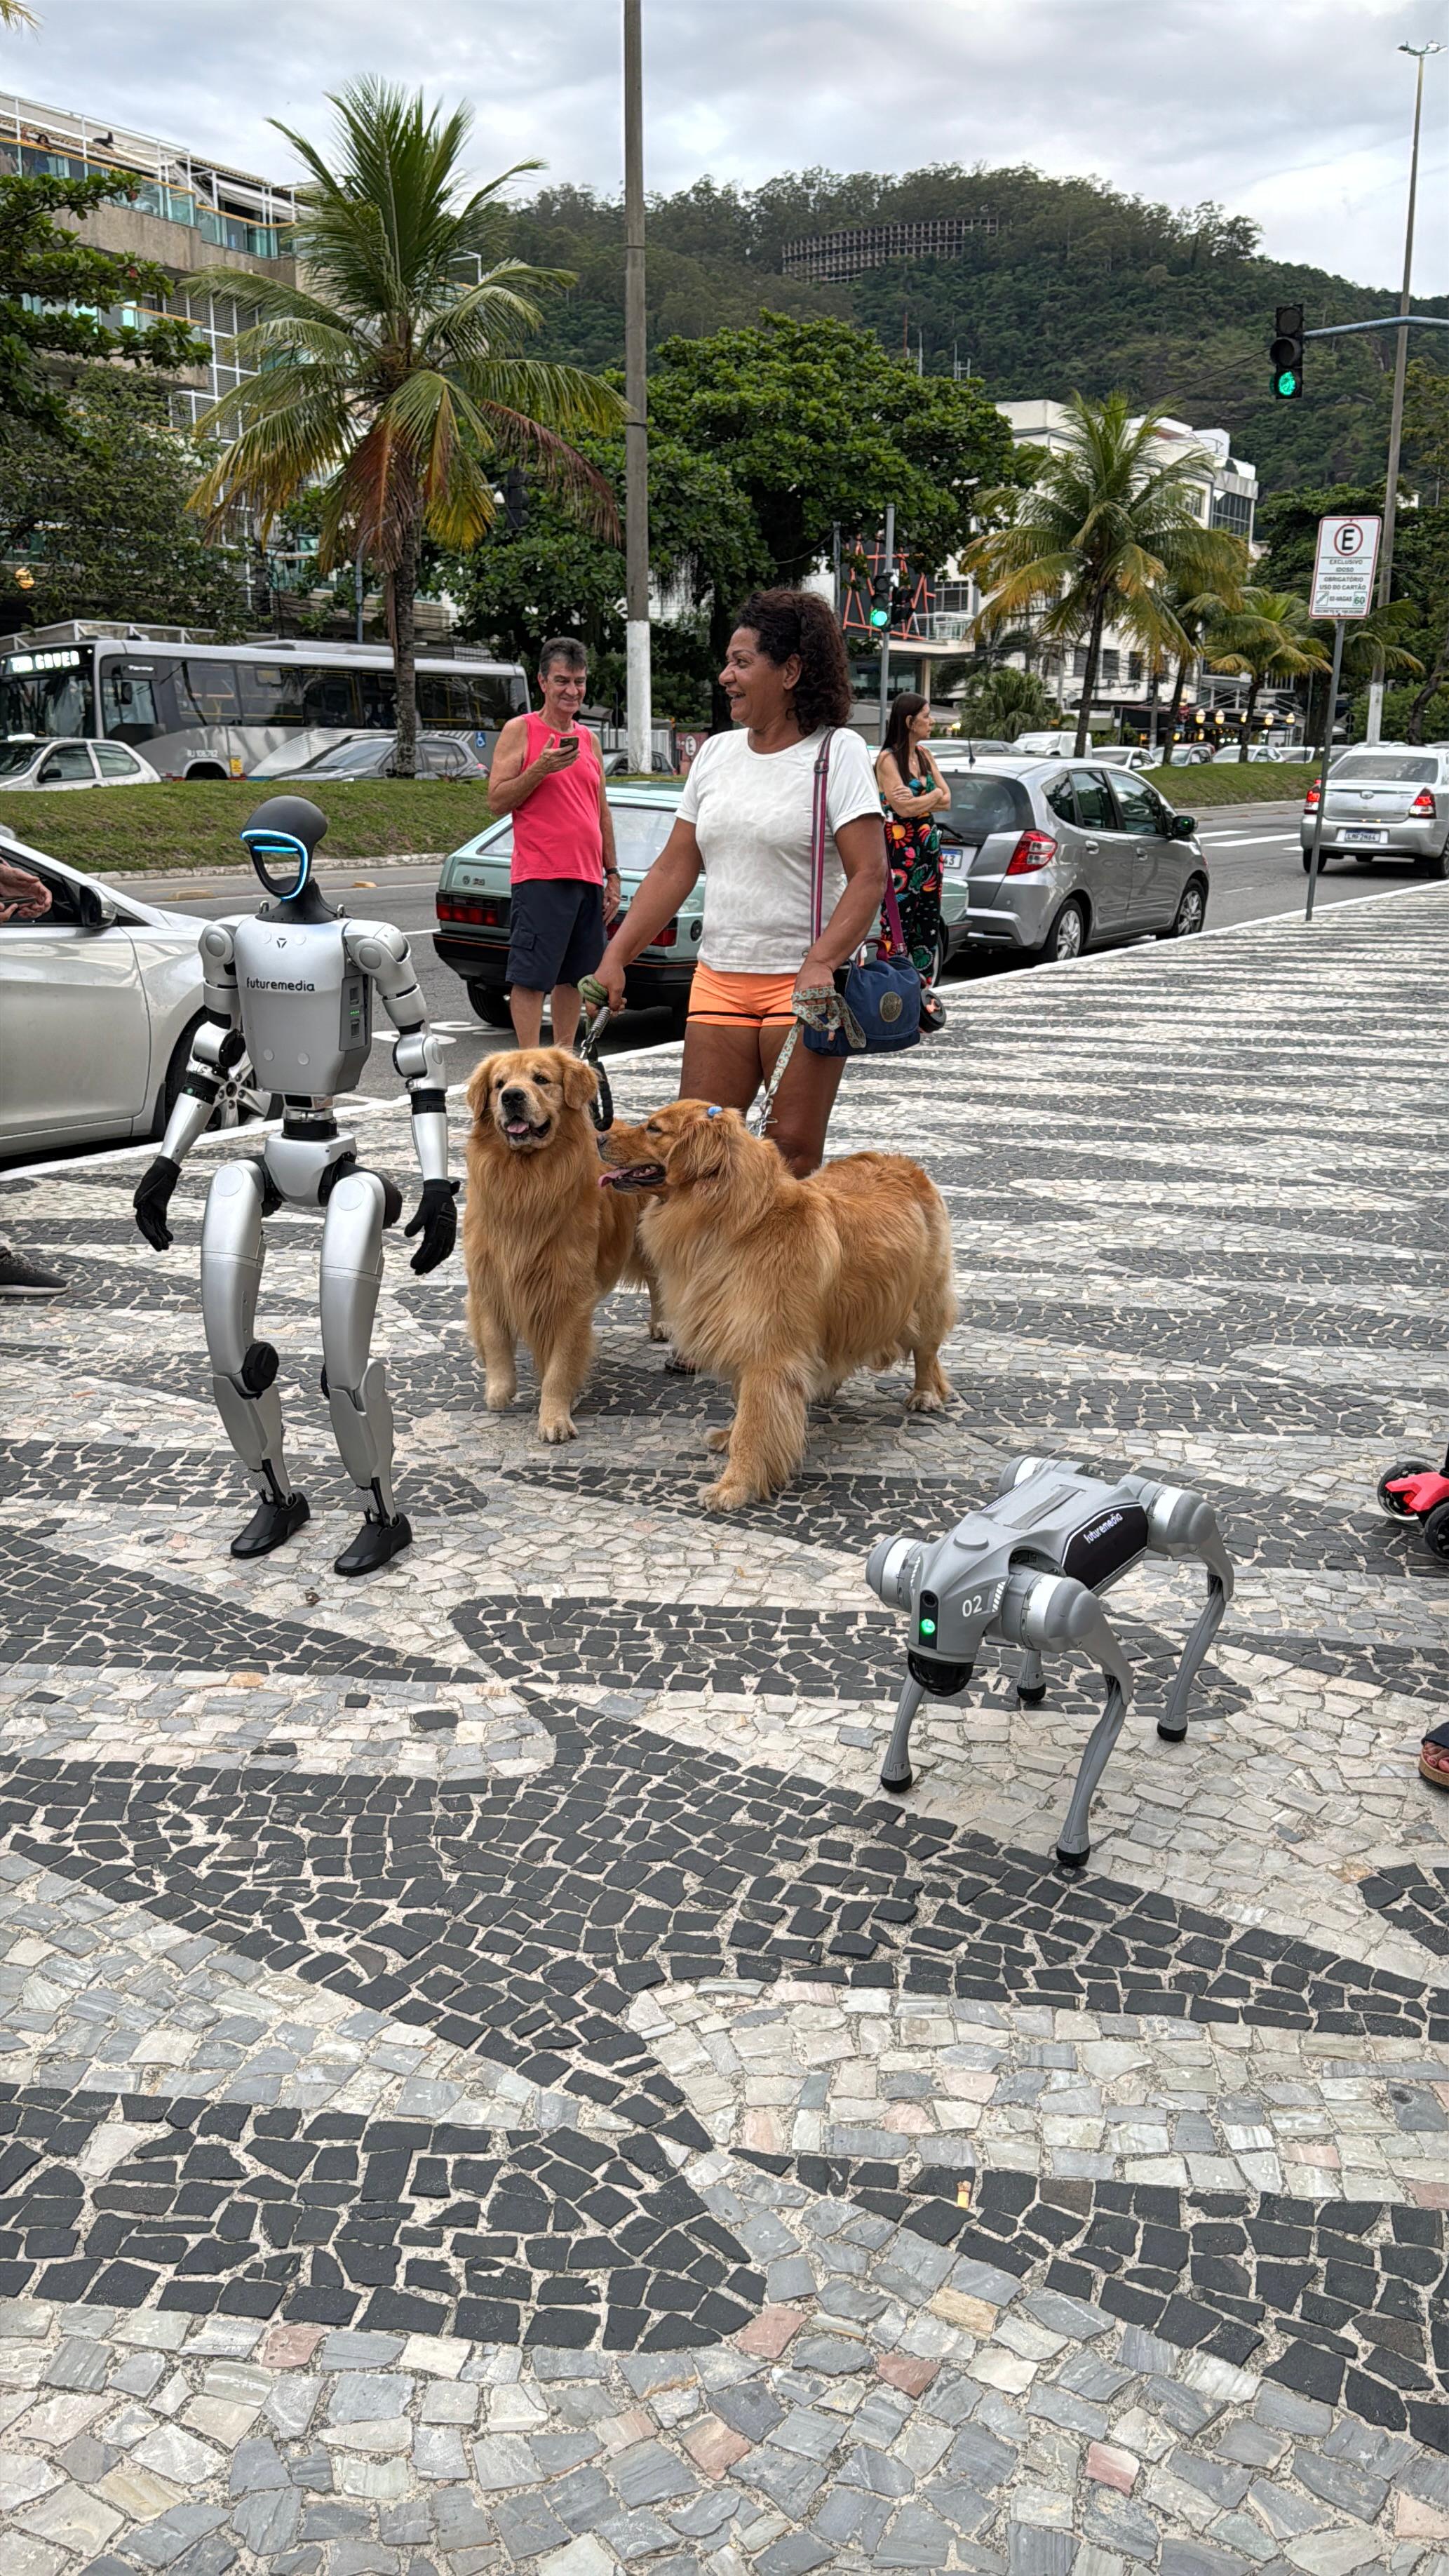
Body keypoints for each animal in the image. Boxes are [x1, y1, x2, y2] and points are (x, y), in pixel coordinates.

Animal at [134, 793, 458, 1576]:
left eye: (287, 847)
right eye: (264, 848)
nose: (275, 871)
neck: (296, 916)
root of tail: (304, 1181)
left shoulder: (376, 948)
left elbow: (416, 1059)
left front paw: (438, 1213)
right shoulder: (220, 948)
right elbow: (213, 1049)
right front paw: (155, 1185)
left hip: (357, 1191)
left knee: (346, 1375)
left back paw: (380, 1529)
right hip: (254, 1179)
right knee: (237, 1363)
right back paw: (277, 1510)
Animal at [870, 1463, 1240, 1865]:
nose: (939, 1681)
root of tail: (1105, 1481)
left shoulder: (1073, 1610)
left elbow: (1123, 1683)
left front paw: (1073, 1846)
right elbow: (909, 1695)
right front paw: (895, 1775)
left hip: (1178, 1525)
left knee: (1209, 1552)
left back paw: (1172, 1723)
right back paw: (1031, 1686)